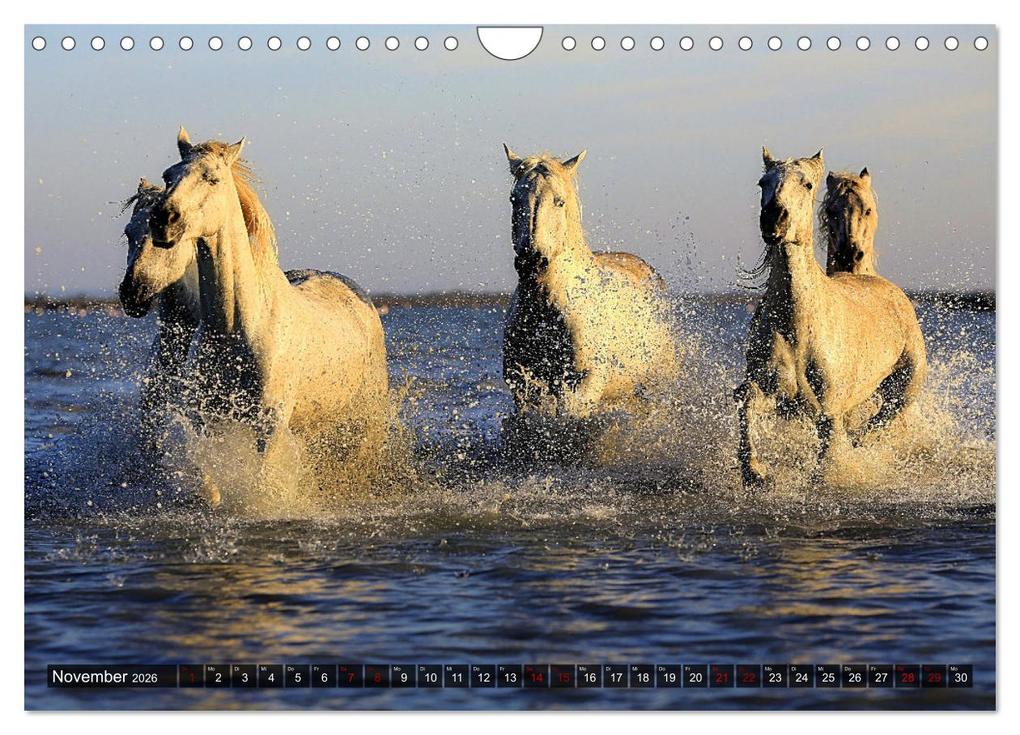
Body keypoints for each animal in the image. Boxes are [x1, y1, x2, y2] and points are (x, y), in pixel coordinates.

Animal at [140, 127, 389, 505]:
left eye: (211, 178)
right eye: (169, 175)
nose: (163, 220)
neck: (238, 328)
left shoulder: (269, 425)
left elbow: (262, 482)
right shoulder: (210, 419)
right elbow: (211, 485)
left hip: (367, 417)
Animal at [501, 145, 678, 452]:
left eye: (559, 202)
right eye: (514, 199)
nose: (531, 262)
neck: (547, 308)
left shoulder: (583, 383)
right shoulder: (522, 385)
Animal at [735, 147, 927, 489]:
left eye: (807, 184)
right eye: (762, 183)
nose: (774, 219)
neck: (798, 324)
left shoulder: (828, 412)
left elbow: (828, 459)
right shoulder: (776, 392)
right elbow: (746, 399)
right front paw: (755, 472)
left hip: (903, 390)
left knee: (879, 422)